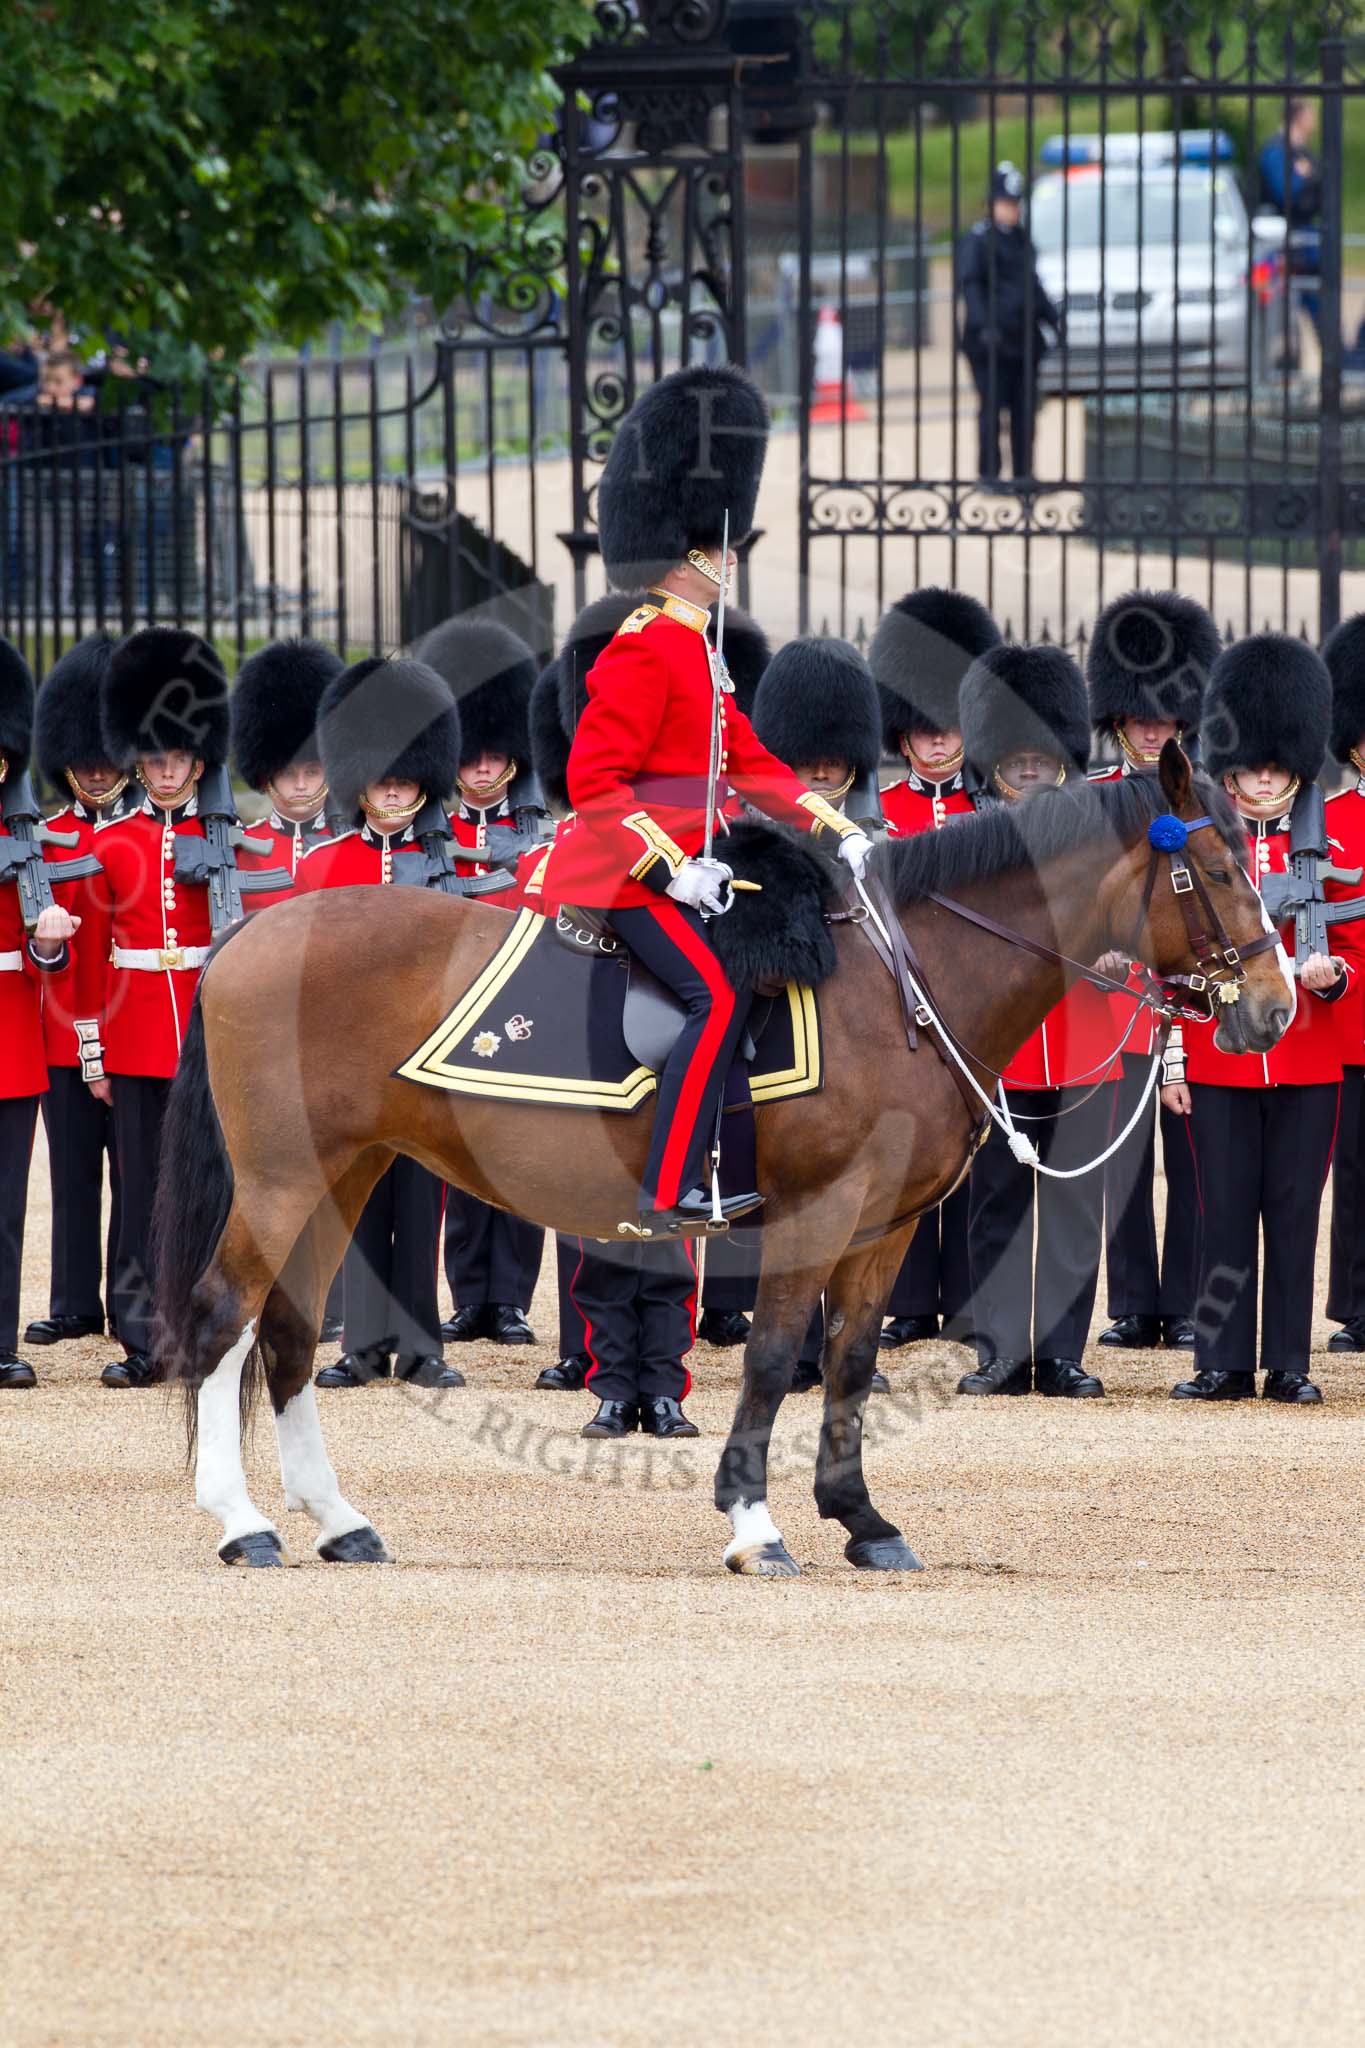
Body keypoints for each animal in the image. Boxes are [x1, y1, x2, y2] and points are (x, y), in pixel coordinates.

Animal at [152, 745, 1293, 1572]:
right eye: (1218, 871)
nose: (1277, 1009)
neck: (906, 991)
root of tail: (256, 934)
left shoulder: (884, 1226)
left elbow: (851, 1361)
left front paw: (861, 1518)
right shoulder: (817, 1212)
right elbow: (778, 1356)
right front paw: (754, 1523)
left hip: (343, 1171)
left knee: (288, 1331)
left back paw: (338, 1520)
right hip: (282, 1179)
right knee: (222, 1316)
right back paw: (242, 1523)